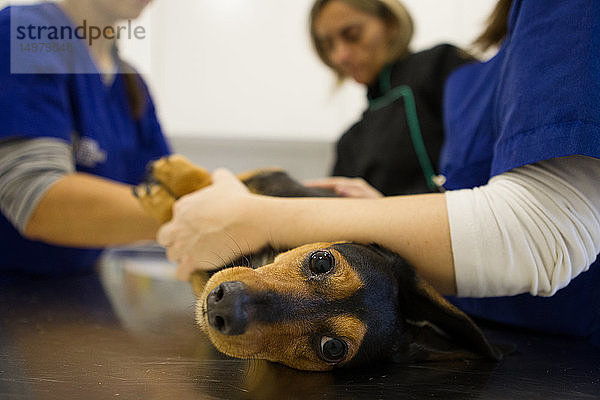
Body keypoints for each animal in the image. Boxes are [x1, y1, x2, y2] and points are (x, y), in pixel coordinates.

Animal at [134, 155, 504, 372]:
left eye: (332, 348)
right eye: (322, 261)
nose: (223, 306)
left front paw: (164, 196)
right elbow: (208, 184)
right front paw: (170, 177)